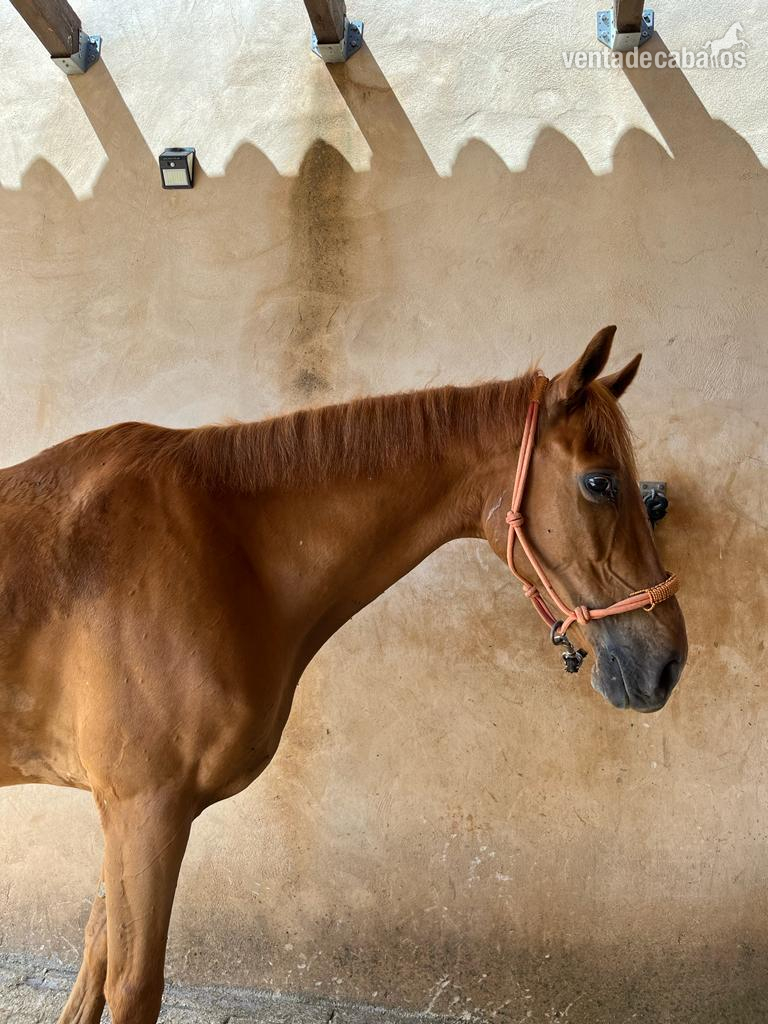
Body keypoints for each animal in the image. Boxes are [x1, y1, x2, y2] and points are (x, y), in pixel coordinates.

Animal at [0, 326, 686, 1023]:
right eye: (600, 483)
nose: (667, 662)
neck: (222, 546)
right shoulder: (146, 807)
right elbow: (132, 984)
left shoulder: (124, 812)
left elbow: (95, 958)